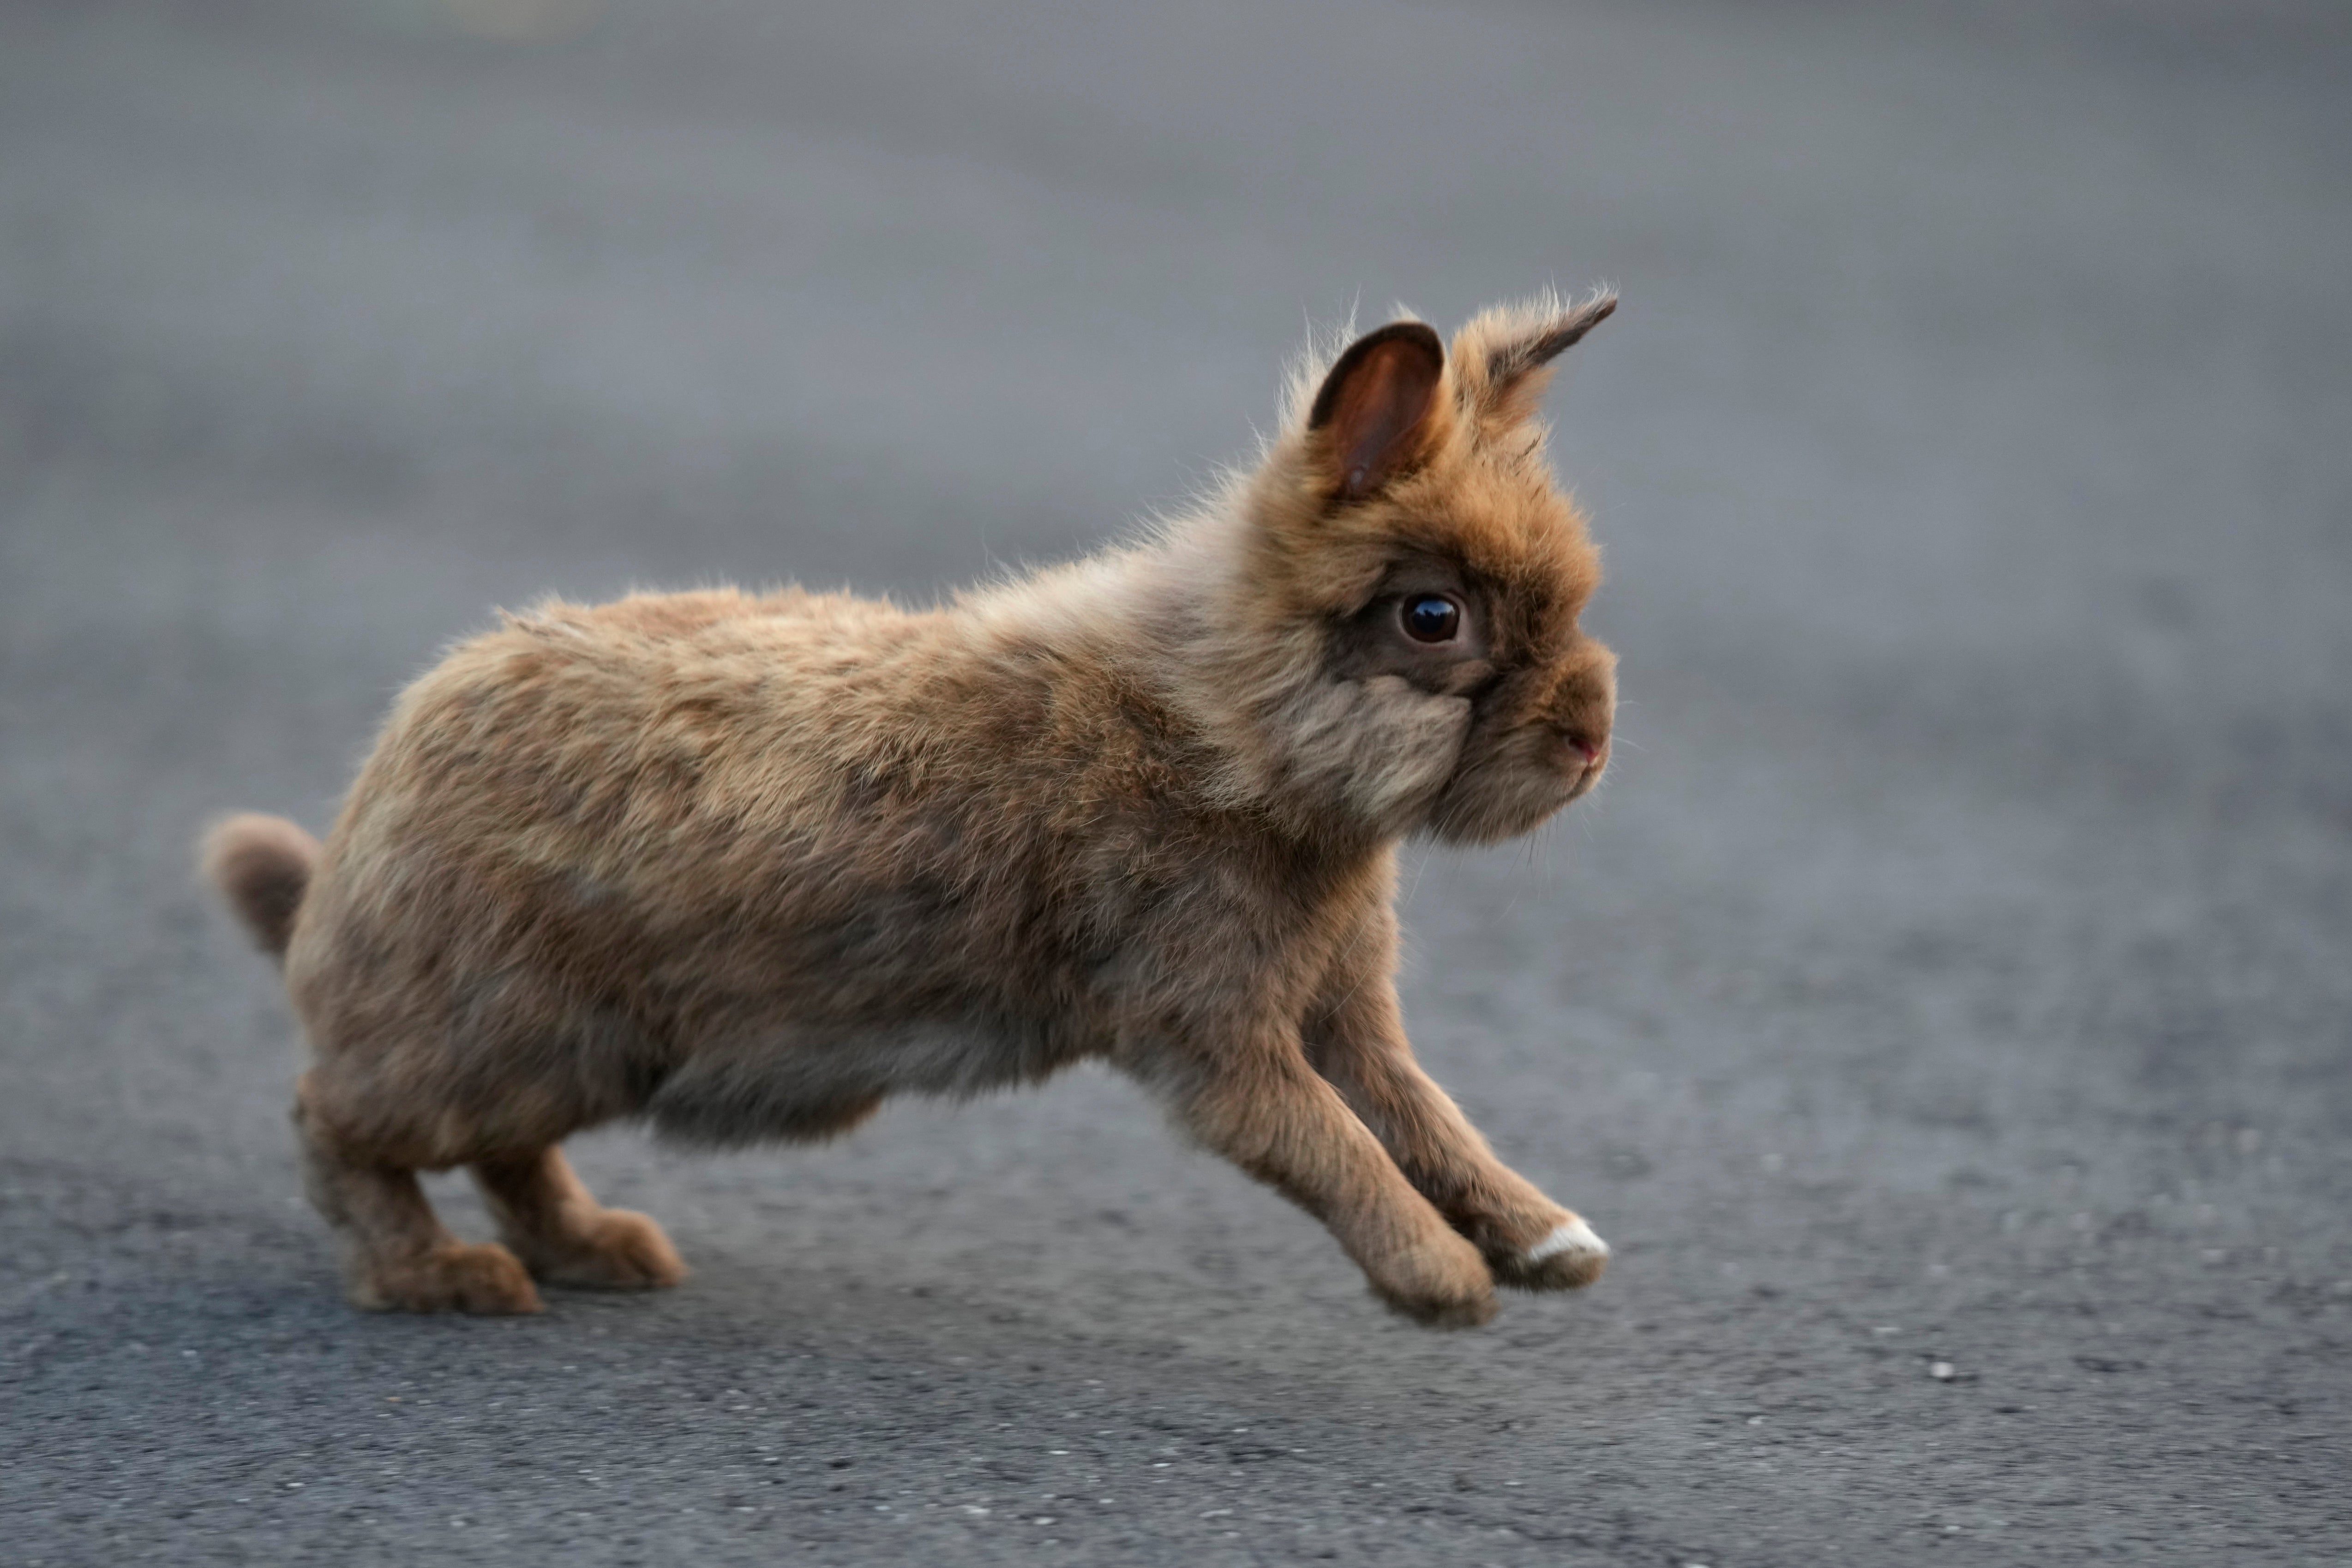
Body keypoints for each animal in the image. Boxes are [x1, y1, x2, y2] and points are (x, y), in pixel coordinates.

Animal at [202, 291, 1622, 1327]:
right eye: (1433, 617)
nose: (1593, 741)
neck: (1223, 722)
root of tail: (359, 843)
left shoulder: (1342, 1009)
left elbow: (1421, 1112)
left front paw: (1555, 1245)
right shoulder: (1213, 1033)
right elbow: (1332, 1142)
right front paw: (1444, 1284)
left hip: (566, 1051)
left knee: (503, 1154)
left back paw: (603, 1251)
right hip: (500, 1034)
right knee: (336, 1121)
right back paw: (442, 1281)